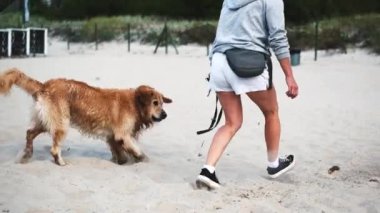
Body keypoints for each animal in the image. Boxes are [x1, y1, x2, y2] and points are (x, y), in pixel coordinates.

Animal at [0, 69, 172, 166]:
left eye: (162, 103)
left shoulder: (112, 137)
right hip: (61, 124)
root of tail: (45, 85)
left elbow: (120, 153)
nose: (165, 114)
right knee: (54, 149)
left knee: (29, 133)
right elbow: (137, 151)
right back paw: (60, 162)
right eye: (155, 103)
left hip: (46, 121)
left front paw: (121, 161)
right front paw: (143, 160)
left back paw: (26, 155)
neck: (135, 104)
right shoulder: (122, 135)